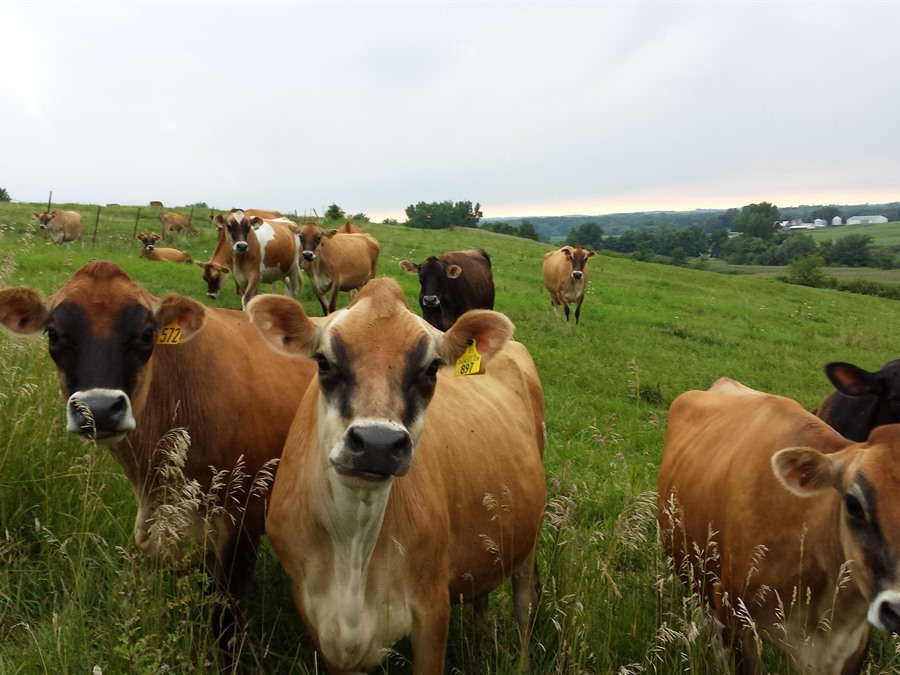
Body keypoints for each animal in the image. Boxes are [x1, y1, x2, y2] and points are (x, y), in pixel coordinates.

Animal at [244, 278, 548, 672]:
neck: (353, 547)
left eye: (432, 368)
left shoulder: (432, 607)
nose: (377, 443)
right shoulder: (316, 617)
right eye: (323, 362)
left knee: (525, 604)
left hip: (529, 535)